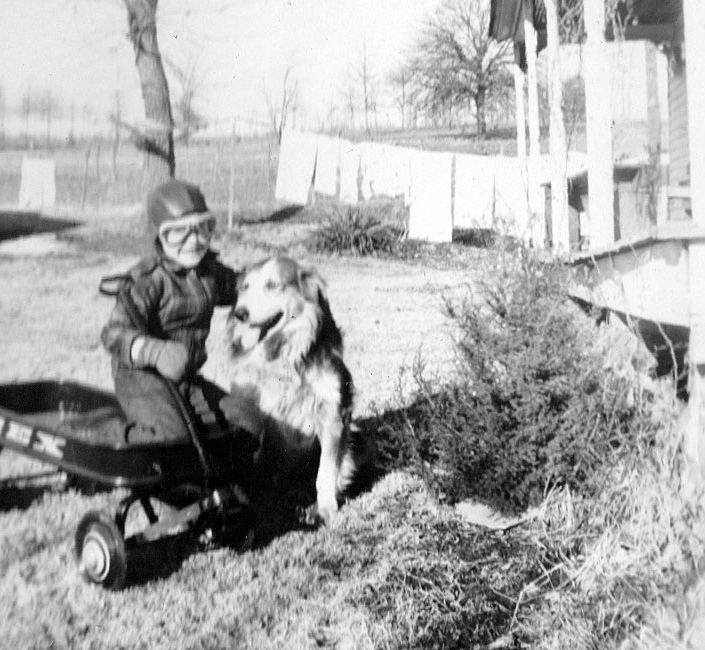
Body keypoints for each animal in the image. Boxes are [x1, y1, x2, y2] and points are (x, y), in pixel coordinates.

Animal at [222, 256, 370, 525]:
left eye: (272, 285)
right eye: (245, 287)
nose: (240, 313)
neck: (283, 354)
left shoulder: (333, 415)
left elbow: (325, 472)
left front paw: (325, 509)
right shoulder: (262, 416)